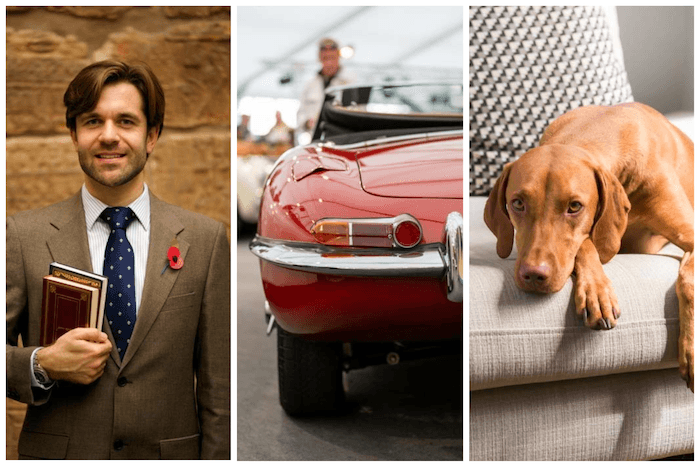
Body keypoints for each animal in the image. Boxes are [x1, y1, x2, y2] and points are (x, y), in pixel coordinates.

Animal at [486, 102, 696, 392]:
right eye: (517, 203)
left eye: (575, 206)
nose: (534, 275)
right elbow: (586, 244)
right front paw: (597, 293)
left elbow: (688, 280)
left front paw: (691, 351)